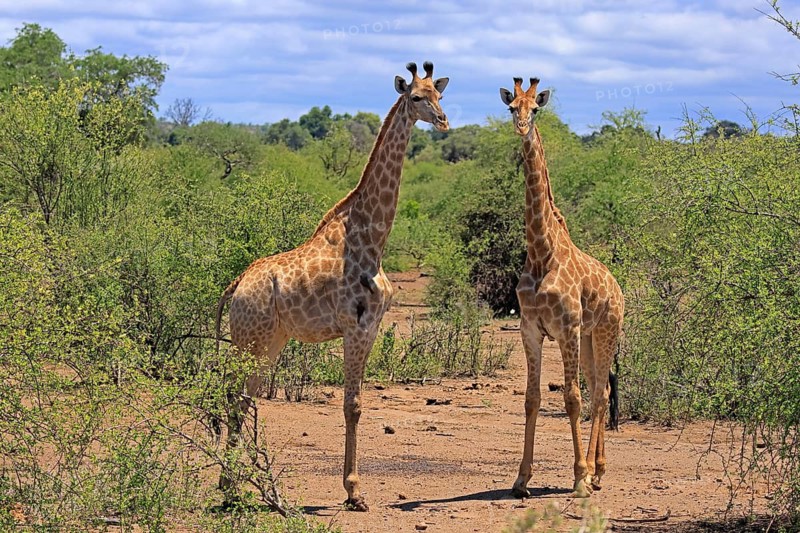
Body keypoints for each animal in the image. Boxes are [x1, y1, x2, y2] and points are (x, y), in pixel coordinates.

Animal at [214, 61, 449, 511]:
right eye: (416, 97)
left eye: (439, 95)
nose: (444, 121)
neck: (372, 239)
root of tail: (235, 285)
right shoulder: (354, 327)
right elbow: (351, 405)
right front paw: (354, 491)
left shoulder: (371, 327)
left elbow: (357, 402)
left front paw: (353, 488)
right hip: (250, 339)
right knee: (235, 394)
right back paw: (230, 487)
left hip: (270, 341)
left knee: (245, 396)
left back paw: (231, 483)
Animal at [499, 77, 624, 498]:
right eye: (511, 107)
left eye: (535, 108)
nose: (521, 127)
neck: (542, 252)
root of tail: (619, 288)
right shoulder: (531, 329)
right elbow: (532, 398)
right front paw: (521, 479)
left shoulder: (566, 327)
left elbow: (571, 398)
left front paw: (578, 478)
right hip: (587, 338)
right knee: (601, 388)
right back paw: (599, 469)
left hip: (605, 331)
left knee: (598, 393)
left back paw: (593, 473)